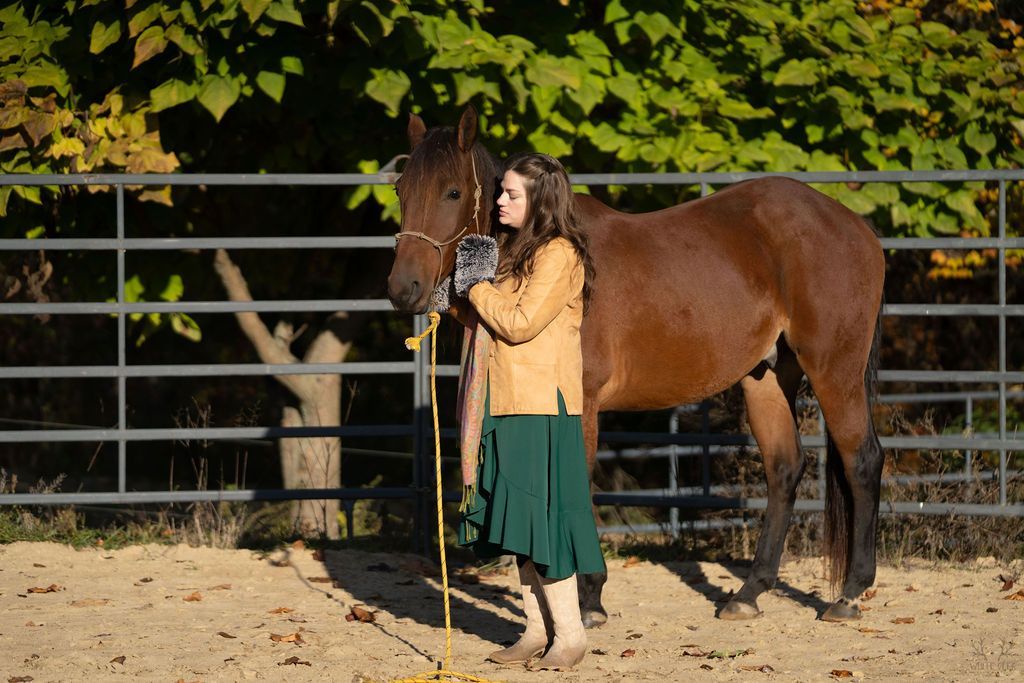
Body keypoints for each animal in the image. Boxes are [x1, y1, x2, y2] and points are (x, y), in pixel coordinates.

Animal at [386, 106, 885, 626]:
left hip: (834, 370)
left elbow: (577, 488)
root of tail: (855, 226)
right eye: (401, 190)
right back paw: (749, 593)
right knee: (784, 468)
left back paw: (850, 593)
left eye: (453, 192)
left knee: (862, 461)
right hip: (766, 377)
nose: (403, 288)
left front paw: (588, 599)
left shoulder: (580, 403)